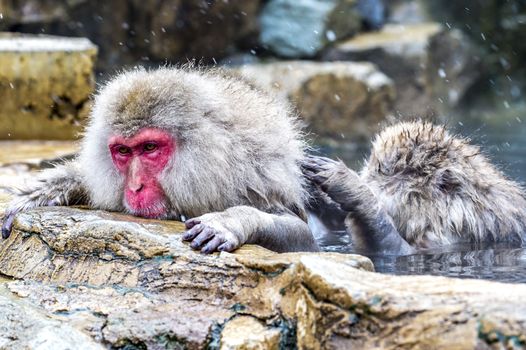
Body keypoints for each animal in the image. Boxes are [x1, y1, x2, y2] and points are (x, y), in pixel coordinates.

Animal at [0, 67, 318, 253]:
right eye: (123, 151)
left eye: (150, 147)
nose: (135, 187)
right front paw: (39, 195)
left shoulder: (255, 180)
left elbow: (302, 237)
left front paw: (231, 221)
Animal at [304, 121, 526, 256]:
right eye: (370, 171)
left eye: (385, 176)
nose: (365, 181)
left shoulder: (452, 236)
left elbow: (397, 250)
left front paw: (350, 187)